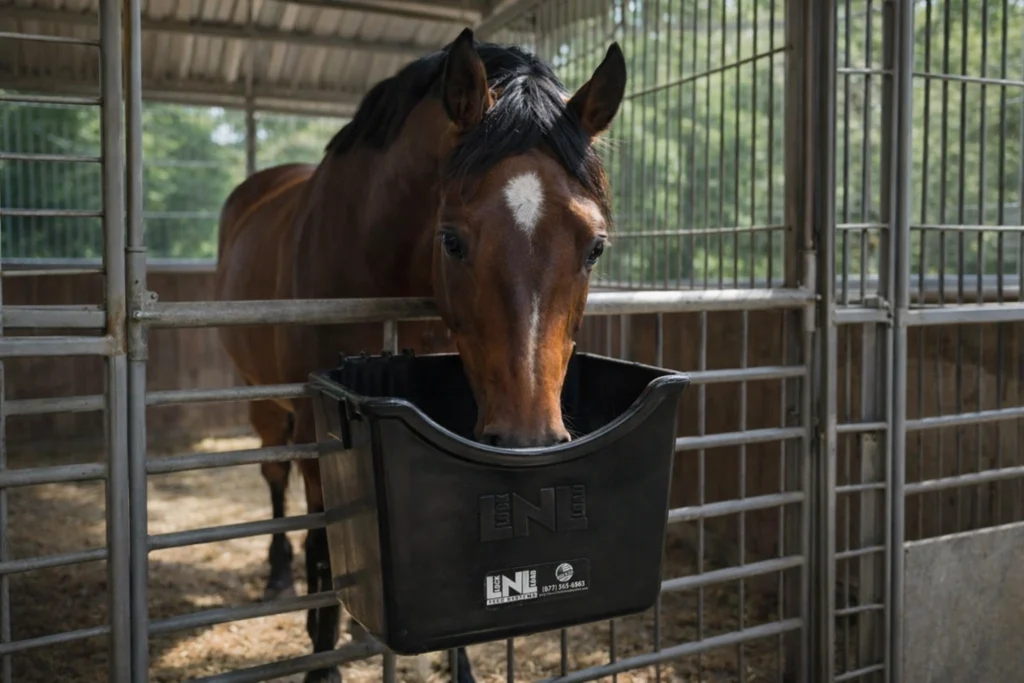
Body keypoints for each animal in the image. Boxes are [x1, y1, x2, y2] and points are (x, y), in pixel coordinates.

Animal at [214, 27, 627, 683]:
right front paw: (322, 664)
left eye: (595, 247)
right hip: (266, 403)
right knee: (276, 479)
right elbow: (323, 547)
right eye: (451, 240)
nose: (529, 440)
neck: (369, 248)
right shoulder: (319, 429)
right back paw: (278, 573)